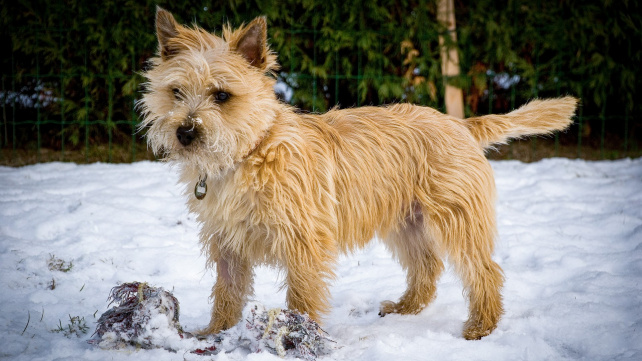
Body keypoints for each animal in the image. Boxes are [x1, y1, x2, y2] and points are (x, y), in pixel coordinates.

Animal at [139, 8, 576, 340]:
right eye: (176, 92)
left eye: (222, 96)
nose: (186, 132)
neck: (250, 152)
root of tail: (459, 123)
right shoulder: (228, 244)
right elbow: (227, 291)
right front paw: (215, 334)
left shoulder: (304, 242)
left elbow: (301, 296)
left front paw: (298, 336)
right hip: (407, 221)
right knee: (427, 267)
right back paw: (406, 308)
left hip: (456, 218)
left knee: (484, 271)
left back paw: (481, 328)